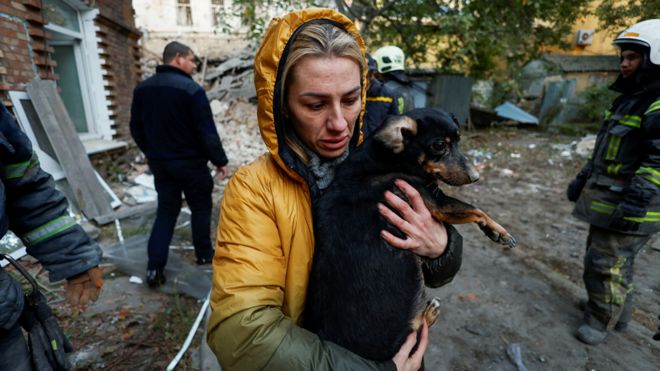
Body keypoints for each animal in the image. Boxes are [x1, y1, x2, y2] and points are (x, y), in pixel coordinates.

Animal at [304, 108, 516, 364]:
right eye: (439, 145)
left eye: (459, 140)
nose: (476, 177)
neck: (389, 159)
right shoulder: (436, 202)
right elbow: (475, 209)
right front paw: (498, 231)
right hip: (406, 333)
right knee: (418, 330)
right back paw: (430, 312)